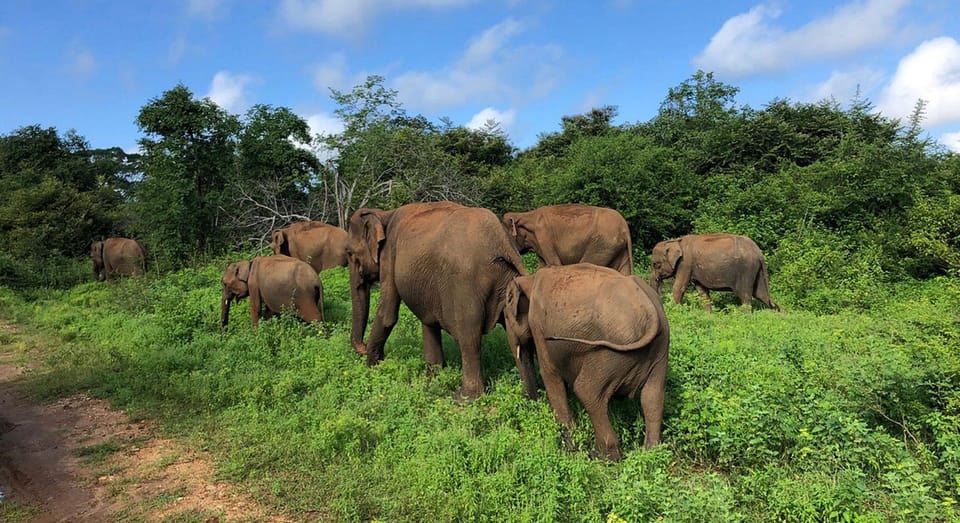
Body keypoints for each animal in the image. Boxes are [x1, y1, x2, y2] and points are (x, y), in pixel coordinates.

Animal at [346, 203, 540, 400]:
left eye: (350, 253)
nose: (362, 347)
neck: (384, 214)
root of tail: (502, 242)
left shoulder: (389, 255)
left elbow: (387, 313)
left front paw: (372, 369)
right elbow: (428, 321)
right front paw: (433, 379)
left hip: (465, 287)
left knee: (469, 336)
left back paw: (463, 398)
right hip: (506, 281)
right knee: (517, 337)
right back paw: (531, 396)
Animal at [498, 205, 632, 276]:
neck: (524, 215)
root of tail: (625, 227)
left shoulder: (544, 236)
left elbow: (554, 263)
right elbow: (542, 266)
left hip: (602, 244)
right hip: (617, 248)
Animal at [506, 264, 672, 460]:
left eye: (506, 318)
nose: (532, 401)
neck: (530, 280)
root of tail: (650, 314)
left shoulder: (538, 325)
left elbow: (550, 373)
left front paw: (570, 449)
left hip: (610, 354)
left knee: (587, 391)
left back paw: (601, 456)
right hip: (660, 348)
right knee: (653, 395)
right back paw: (651, 453)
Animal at [648, 233, 784, 312]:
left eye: (656, 264)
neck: (675, 241)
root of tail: (759, 253)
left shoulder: (685, 263)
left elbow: (679, 287)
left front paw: (674, 312)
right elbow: (702, 292)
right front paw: (708, 315)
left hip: (746, 269)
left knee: (745, 295)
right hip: (755, 269)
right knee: (761, 294)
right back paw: (781, 313)